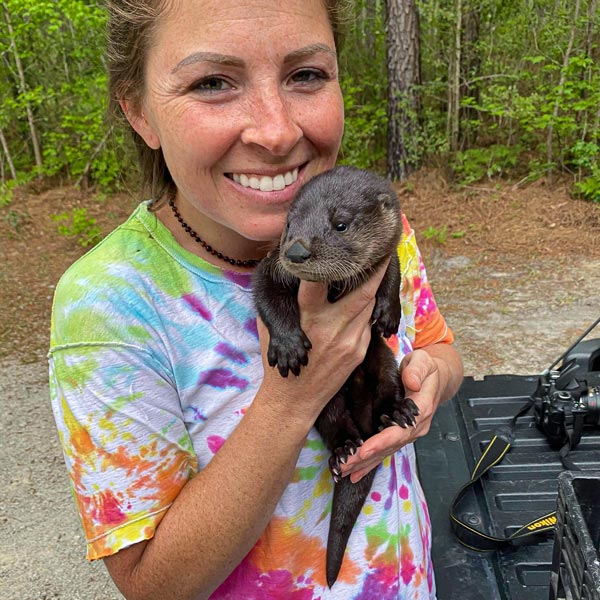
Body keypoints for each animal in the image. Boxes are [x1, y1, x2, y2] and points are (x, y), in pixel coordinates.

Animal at [252, 166, 418, 588]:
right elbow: (267, 296)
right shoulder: (270, 266)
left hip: (385, 364)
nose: (296, 251)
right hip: (328, 403)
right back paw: (344, 447)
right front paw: (288, 346)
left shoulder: (385, 258)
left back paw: (397, 412)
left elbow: (392, 270)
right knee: (334, 426)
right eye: (288, 225)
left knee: (388, 390)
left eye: (340, 224)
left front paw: (388, 312)